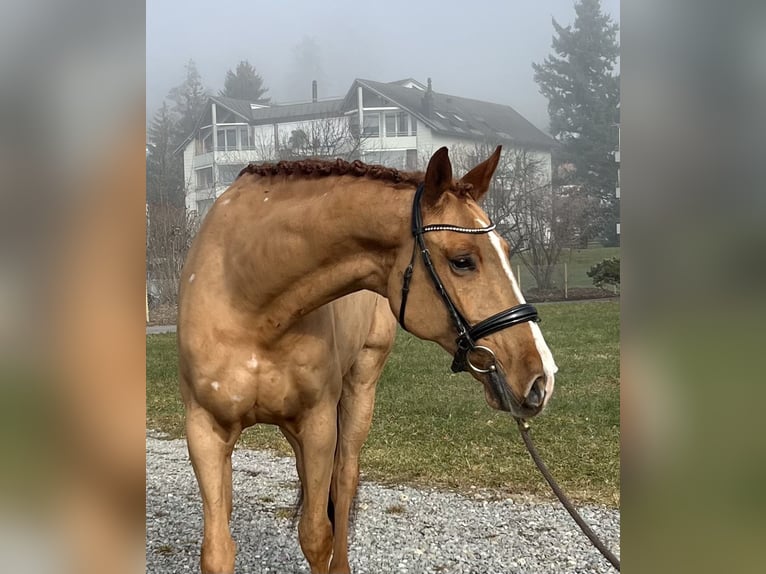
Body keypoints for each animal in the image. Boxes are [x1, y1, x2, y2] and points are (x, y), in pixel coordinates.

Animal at [177, 148, 560, 574]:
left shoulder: (318, 424)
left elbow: (317, 535)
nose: (541, 377)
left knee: (344, 479)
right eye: (463, 261)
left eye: (507, 251)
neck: (247, 299)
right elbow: (217, 549)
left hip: (359, 388)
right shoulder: (205, 431)